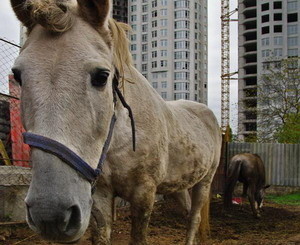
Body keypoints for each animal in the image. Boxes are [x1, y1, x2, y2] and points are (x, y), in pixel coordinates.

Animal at [10, 0, 221, 244]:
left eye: (102, 76)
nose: (49, 214)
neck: (120, 139)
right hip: (179, 184)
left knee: (195, 218)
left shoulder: (144, 194)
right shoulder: (101, 194)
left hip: (205, 182)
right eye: (18, 76)